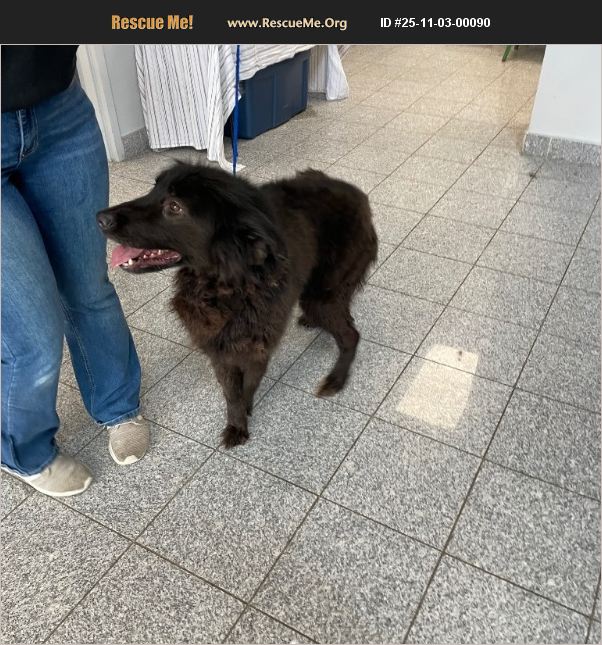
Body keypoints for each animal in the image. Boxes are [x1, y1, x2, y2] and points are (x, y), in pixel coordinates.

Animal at [97, 163, 378, 448]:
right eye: (154, 189)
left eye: (174, 207)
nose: (100, 217)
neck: (227, 284)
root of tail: (360, 197)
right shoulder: (219, 349)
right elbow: (232, 394)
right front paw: (236, 422)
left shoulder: (255, 348)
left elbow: (247, 387)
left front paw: (243, 418)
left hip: (322, 296)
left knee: (351, 335)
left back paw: (336, 379)